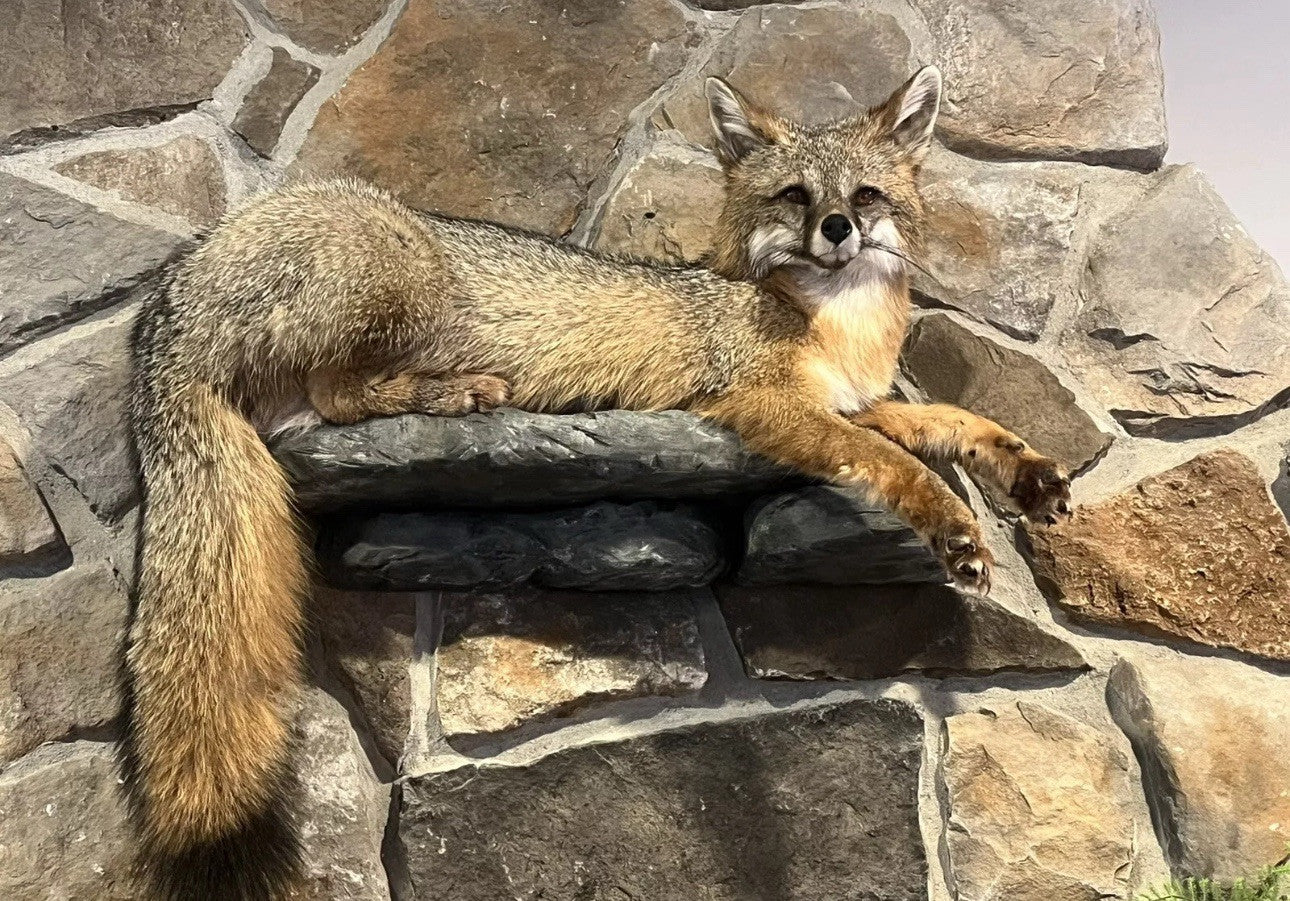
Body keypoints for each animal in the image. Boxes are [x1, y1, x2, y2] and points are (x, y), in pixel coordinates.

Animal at [121, 65, 1071, 899]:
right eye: (797, 198)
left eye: (864, 196)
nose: (838, 228)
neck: (836, 323)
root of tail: (178, 282)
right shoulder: (764, 405)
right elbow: (900, 464)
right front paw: (956, 530)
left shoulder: (858, 403)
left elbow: (950, 419)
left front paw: (1028, 473)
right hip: (399, 274)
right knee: (336, 397)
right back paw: (458, 390)